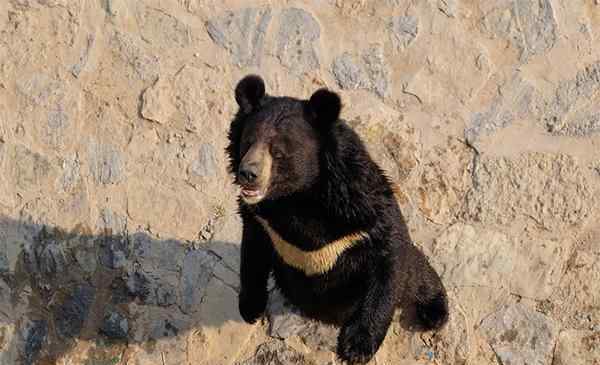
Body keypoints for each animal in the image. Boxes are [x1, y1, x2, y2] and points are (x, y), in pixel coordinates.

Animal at [227, 75, 448, 362]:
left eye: (278, 152)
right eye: (248, 141)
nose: (247, 174)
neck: (297, 199)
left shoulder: (362, 209)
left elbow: (388, 257)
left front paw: (356, 346)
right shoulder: (263, 222)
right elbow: (252, 254)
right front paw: (250, 307)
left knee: (417, 274)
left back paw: (434, 311)